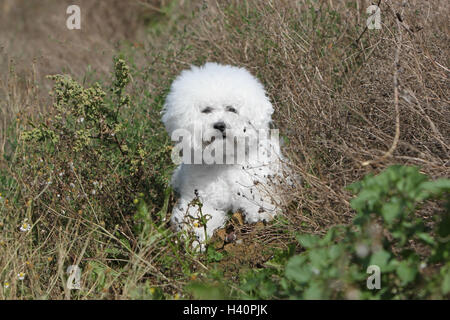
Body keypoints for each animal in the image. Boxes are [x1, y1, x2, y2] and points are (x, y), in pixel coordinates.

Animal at [162, 61, 288, 249]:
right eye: (206, 110)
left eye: (231, 109)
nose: (220, 125)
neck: (223, 160)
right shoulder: (200, 200)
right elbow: (196, 217)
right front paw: (196, 238)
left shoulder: (253, 184)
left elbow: (260, 197)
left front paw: (262, 212)